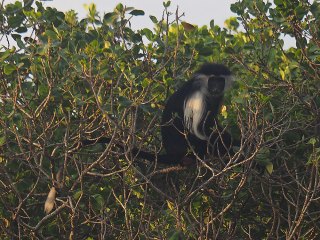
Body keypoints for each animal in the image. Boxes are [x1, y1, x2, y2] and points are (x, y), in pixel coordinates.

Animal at [83, 62, 235, 166]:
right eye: (212, 80)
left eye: (220, 81)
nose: (216, 88)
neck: (205, 89)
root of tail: (173, 153)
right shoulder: (199, 99)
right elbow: (200, 130)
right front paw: (228, 143)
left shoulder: (216, 99)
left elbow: (212, 121)